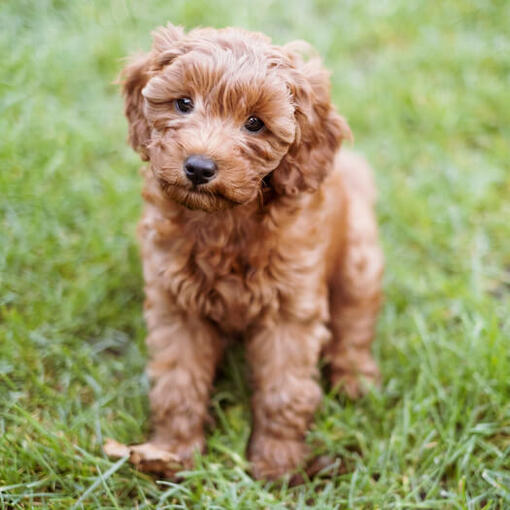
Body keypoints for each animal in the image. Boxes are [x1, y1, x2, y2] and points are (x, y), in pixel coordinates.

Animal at [116, 22, 382, 478]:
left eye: (255, 123)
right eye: (183, 103)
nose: (199, 167)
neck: (224, 221)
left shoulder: (289, 313)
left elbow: (284, 390)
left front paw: (278, 464)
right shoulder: (175, 306)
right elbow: (177, 383)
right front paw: (170, 454)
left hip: (359, 261)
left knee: (354, 325)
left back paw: (355, 382)